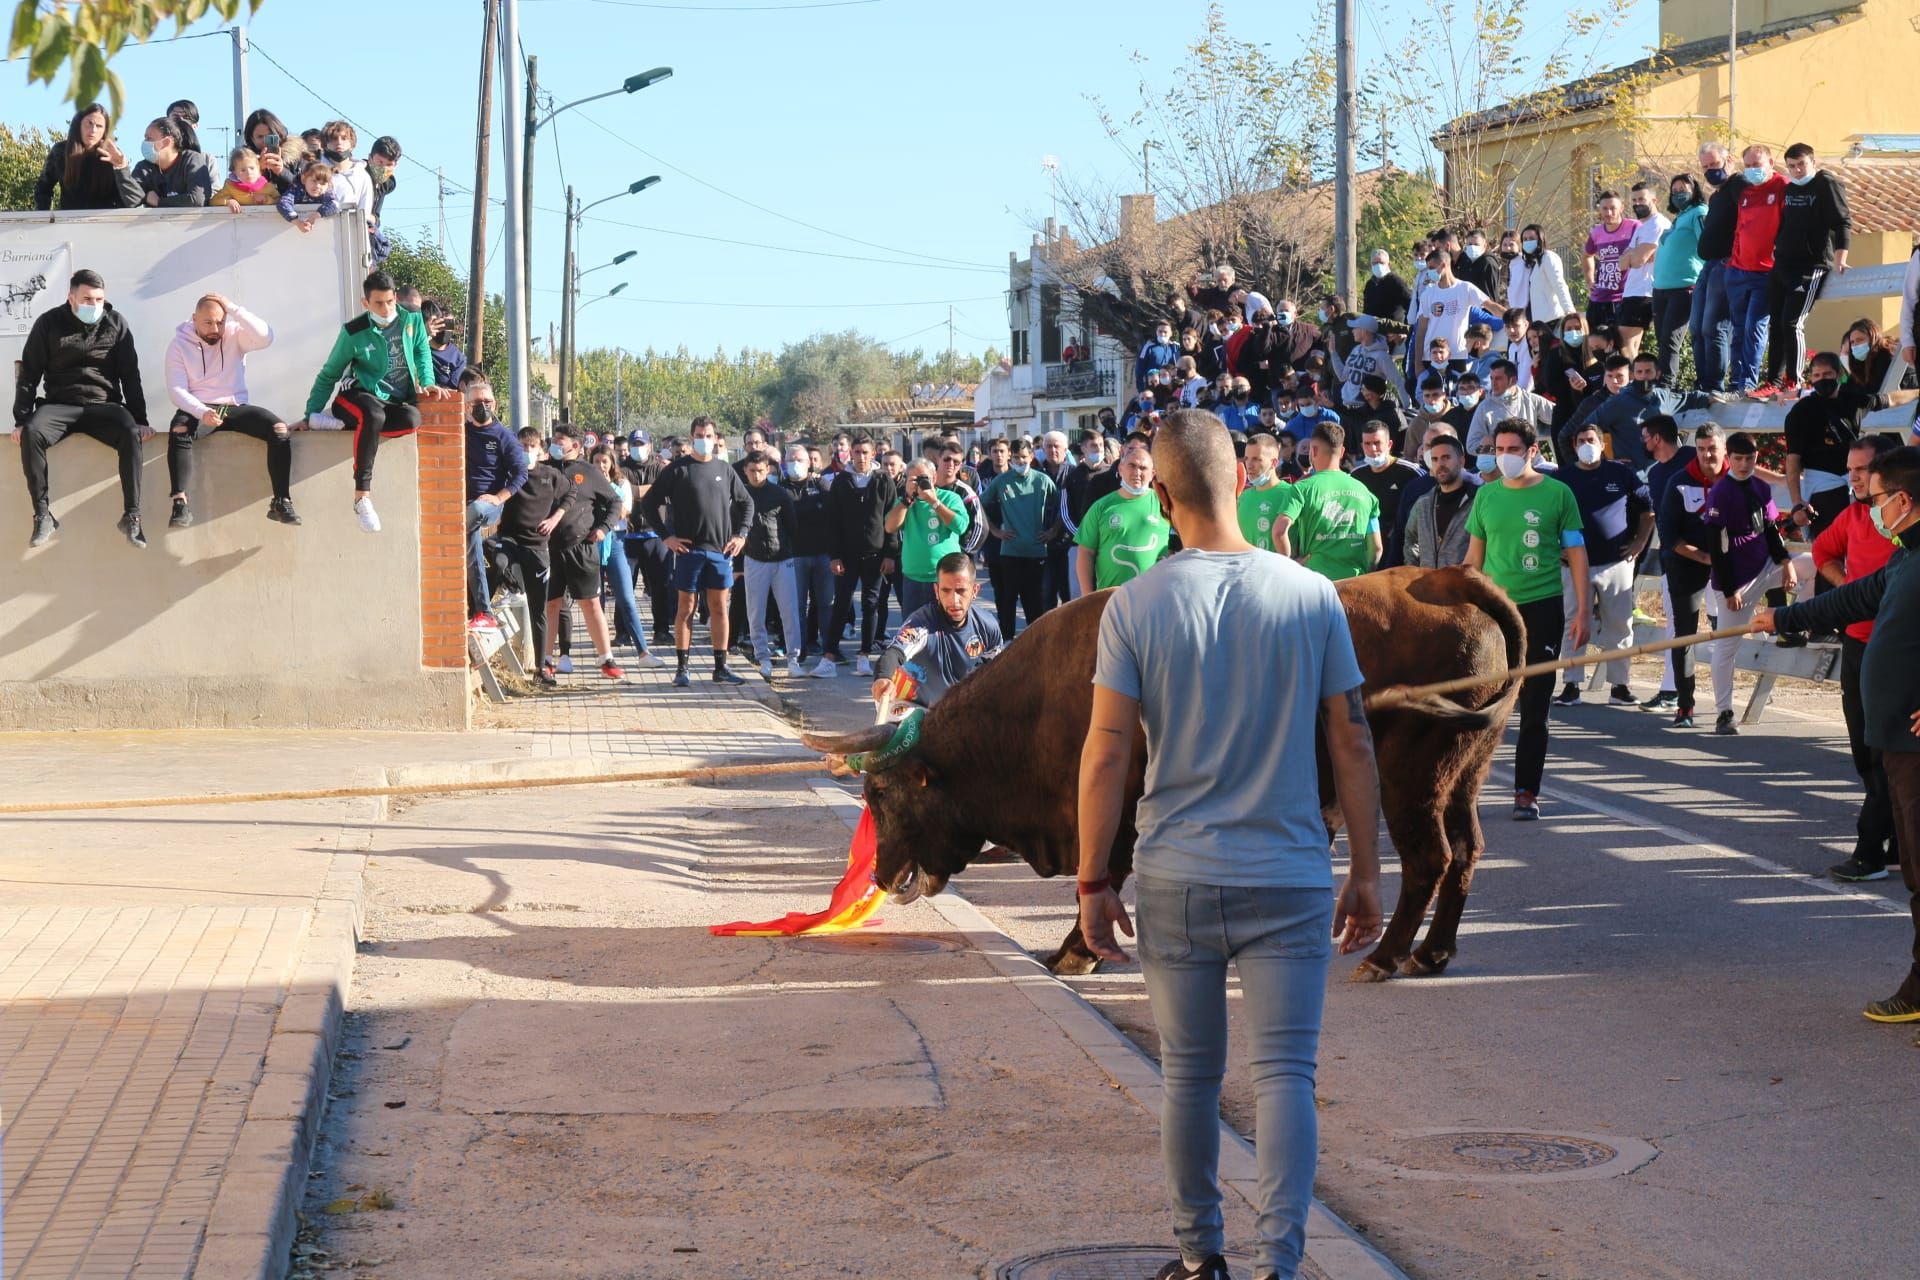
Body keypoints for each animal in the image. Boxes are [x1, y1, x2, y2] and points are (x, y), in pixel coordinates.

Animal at [802, 564, 1520, 974]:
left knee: (1429, 860)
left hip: (1411, 781)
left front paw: (1076, 950)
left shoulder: (1111, 811)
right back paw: (1431, 953)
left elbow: (1100, 878)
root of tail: (1451, 578)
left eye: (882, 792)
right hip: (1464, 775)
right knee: (1467, 852)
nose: (880, 873)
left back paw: (1387, 957)